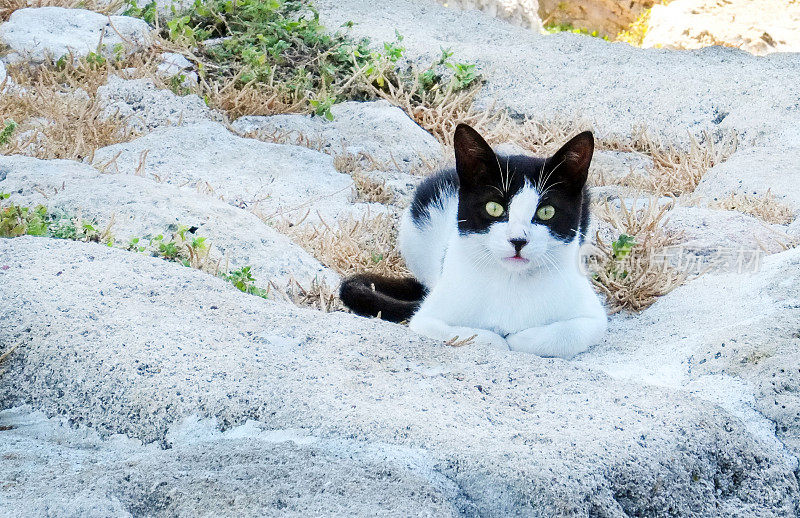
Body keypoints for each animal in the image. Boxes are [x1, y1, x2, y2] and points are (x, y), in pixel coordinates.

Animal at [338, 124, 608, 360]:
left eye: (546, 212)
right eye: (494, 207)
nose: (518, 240)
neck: (511, 282)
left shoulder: (592, 315)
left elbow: (569, 332)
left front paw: (518, 338)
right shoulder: (427, 318)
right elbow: (477, 336)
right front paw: (499, 339)